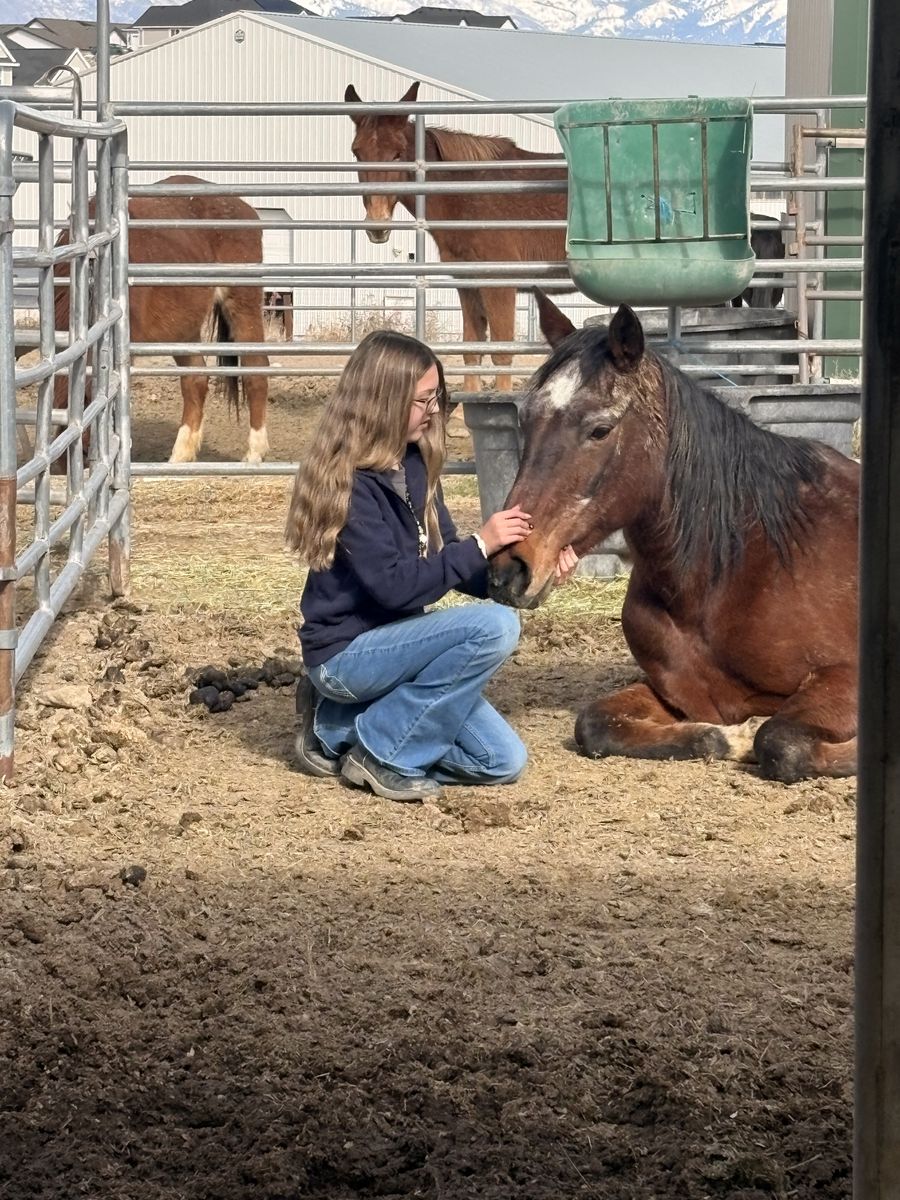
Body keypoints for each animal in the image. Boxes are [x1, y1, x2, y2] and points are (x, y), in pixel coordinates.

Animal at [52, 175, 270, 464]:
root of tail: (245, 209)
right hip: (184, 327)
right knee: (195, 380)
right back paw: (179, 457)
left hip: (242, 304)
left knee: (256, 370)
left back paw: (254, 453)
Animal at [346, 81, 787, 390]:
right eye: (356, 152)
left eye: (399, 153)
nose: (377, 226)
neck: (467, 193)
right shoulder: (469, 286)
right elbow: (472, 352)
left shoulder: (499, 286)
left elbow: (501, 354)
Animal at [488, 291, 859, 784]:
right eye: (526, 422)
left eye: (600, 429)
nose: (508, 569)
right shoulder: (678, 695)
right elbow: (595, 723)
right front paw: (729, 738)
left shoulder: (847, 677)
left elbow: (781, 740)